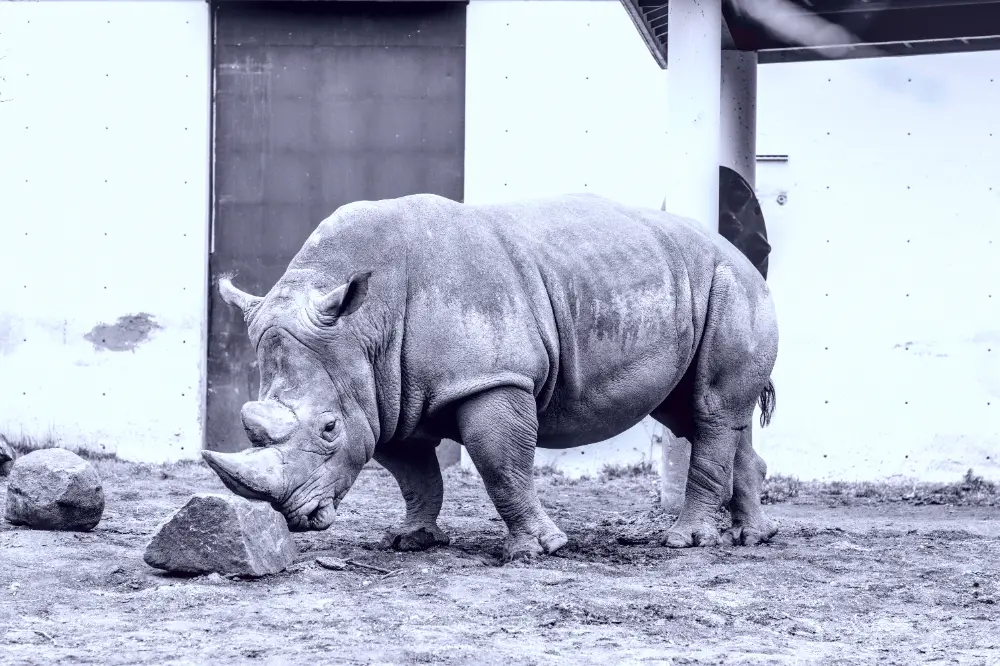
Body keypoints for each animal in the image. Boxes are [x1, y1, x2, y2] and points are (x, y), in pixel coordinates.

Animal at [204, 192, 779, 561]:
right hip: (689, 282)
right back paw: (754, 538)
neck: (364, 329)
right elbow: (414, 474)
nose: (292, 515)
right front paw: (409, 540)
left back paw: (688, 542)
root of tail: (738, 251)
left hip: (731, 284)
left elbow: (501, 464)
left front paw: (538, 551)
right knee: (697, 414)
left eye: (328, 429)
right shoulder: (384, 398)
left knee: (709, 410)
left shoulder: (491, 378)